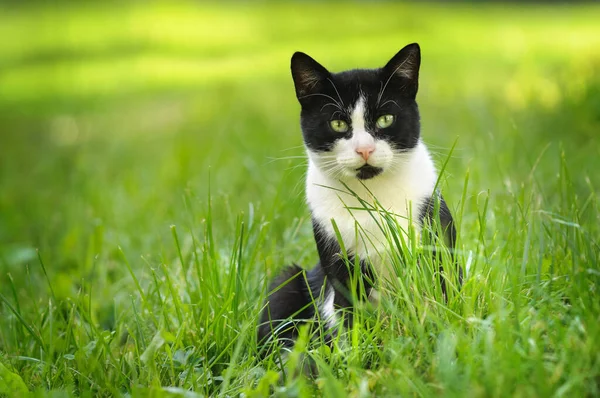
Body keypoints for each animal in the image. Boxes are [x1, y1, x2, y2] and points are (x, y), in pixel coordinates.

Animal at [256, 42, 460, 354]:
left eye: (386, 119)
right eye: (338, 123)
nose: (364, 149)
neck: (371, 196)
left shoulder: (435, 237)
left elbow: (441, 295)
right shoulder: (338, 264)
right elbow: (349, 318)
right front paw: (355, 358)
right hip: (287, 282)